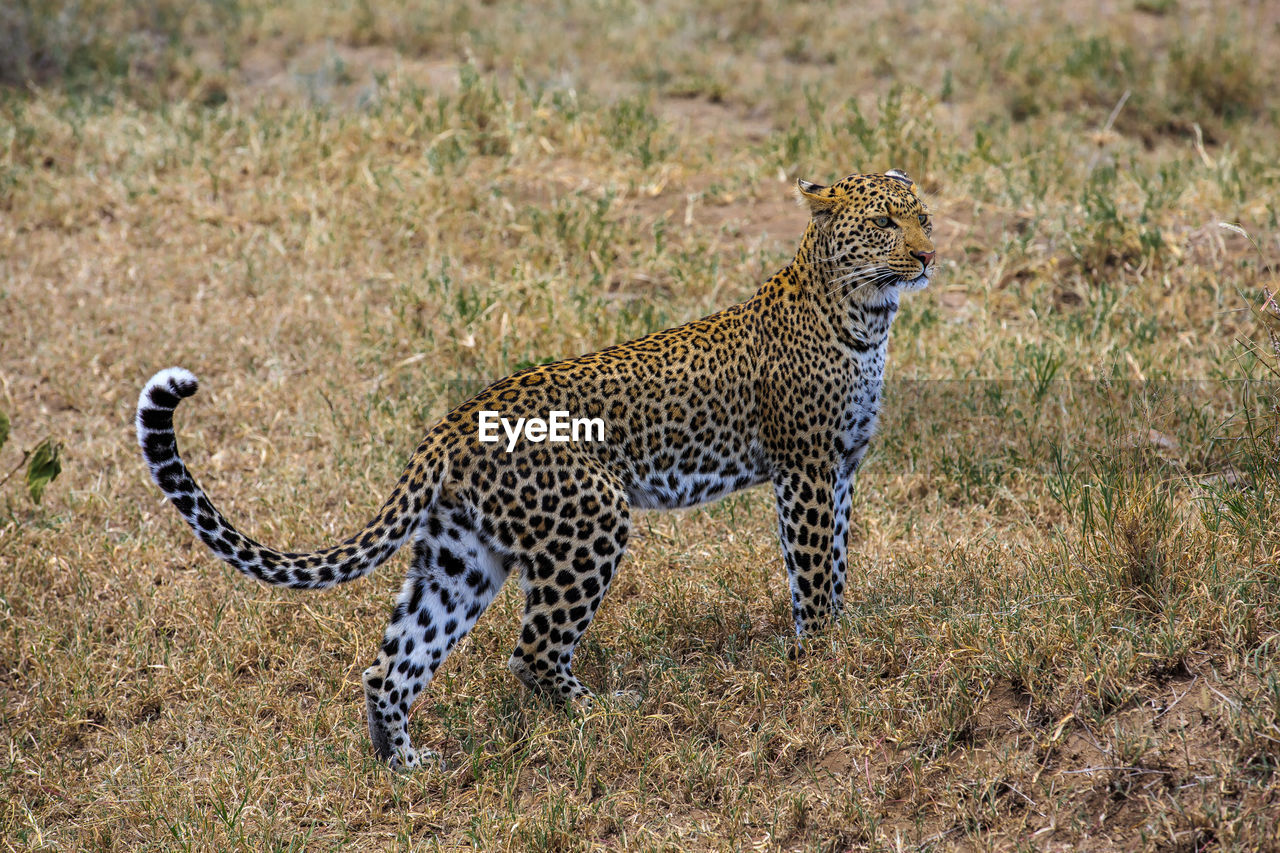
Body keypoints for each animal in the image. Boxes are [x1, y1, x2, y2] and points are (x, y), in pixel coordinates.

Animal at [135, 166, 936, 763]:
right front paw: (825, 658)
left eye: (924, 215)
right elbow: (814, 572)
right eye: (885, 224)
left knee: (391, 663)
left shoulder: (842, 468)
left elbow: (835, 562)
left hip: (462, 556)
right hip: (592, 518)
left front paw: (836, 640)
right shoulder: (807, 468)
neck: (867, 317)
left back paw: (407, 765)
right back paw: (604, 714)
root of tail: (453, 421)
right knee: (533, 650)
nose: (929, 256)